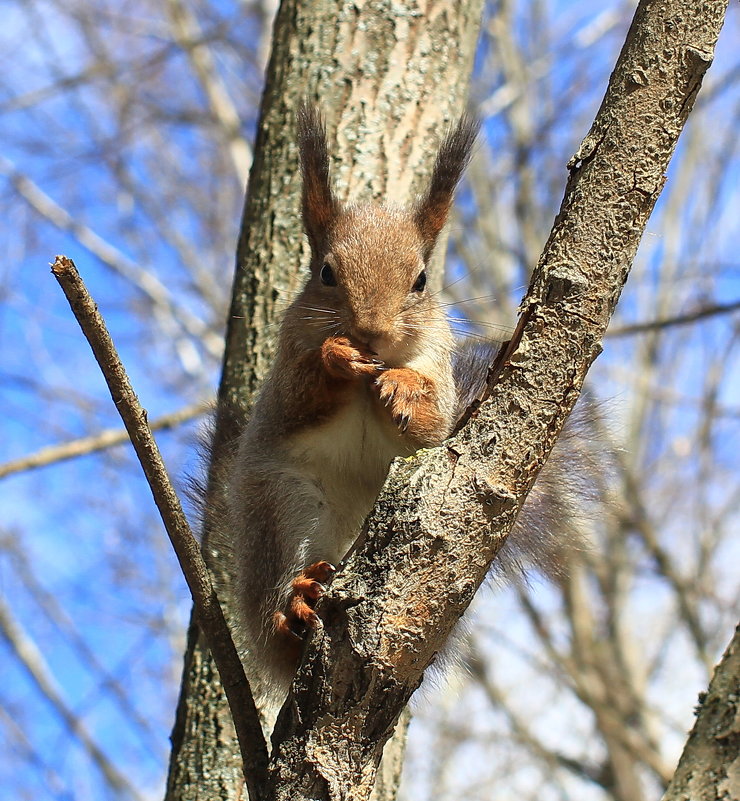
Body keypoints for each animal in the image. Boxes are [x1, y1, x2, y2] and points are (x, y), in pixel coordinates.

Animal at [212, 108, 588, 720]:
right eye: (326, 273)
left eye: (420, 280)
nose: (371, 332)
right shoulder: (285, 374)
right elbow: (298, 396)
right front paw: (338, 357)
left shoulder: (439, 370)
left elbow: (434, 419)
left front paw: (401, 387)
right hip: (283, 506)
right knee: (281, 593)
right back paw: (295, 605)